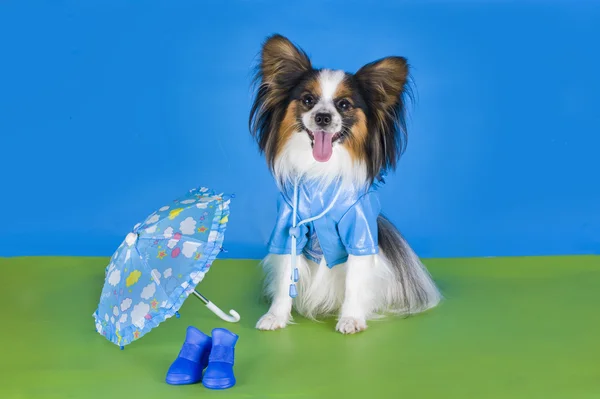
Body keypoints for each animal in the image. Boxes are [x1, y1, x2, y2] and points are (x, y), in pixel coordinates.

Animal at [248, 33, 440, 334]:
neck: (320, 177)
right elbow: (285, 277)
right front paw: (276, 315)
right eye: (308, 99)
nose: (323, 117)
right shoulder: (288, 227)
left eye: (344, 105)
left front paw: (351, 319)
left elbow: (355, 280)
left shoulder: (358, 231)